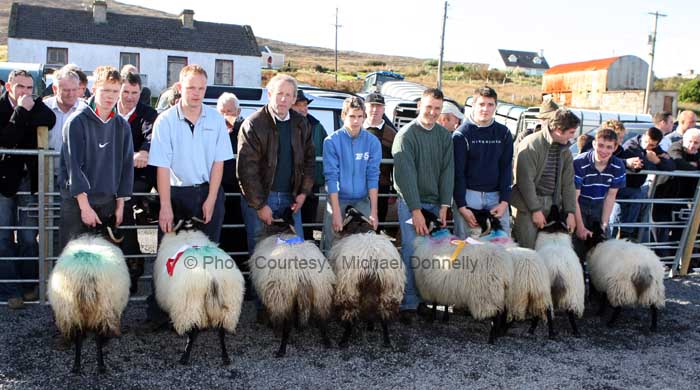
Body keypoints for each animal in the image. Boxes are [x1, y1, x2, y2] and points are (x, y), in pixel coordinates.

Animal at [50, 215, 132, 374]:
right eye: (114, 226)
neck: (96, 232)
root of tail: (86, 274)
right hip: (104, 305)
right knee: (98, 335)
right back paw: (101, 365)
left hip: (71, 307)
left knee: (78, 333)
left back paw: (76, 365)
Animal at [249, 210, 336, 356]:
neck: (282, 230)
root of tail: (302, 275)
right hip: (321, 295)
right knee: (322, 321)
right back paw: (327, 341)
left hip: (283, 297)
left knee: (286, 325)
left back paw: (281, 349)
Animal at [328, 207, 404, 348]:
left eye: (349, 214)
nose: (348, 206)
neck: (359, 226)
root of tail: (372, 258)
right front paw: (370, 325)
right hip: (388, 292)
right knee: (383, 317)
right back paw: (386, 340)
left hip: (349, 290)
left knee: (351, 316)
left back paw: (344, 340)